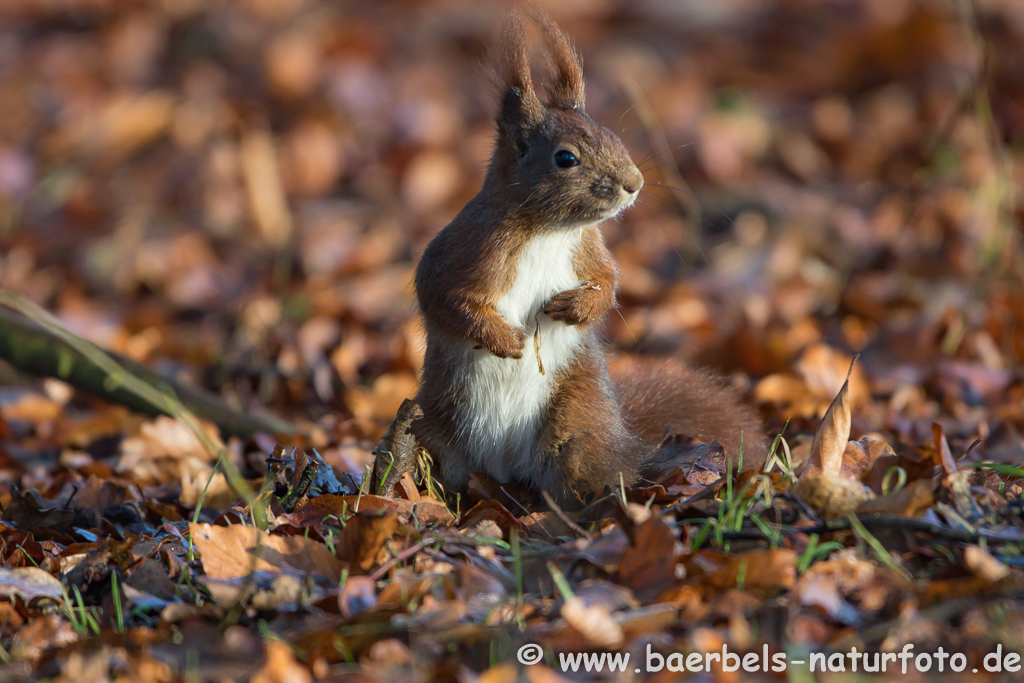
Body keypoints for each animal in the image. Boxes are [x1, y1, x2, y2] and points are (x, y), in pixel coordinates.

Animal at [403, 7, 765, 505]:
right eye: (565, 158)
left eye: (612, 135)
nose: (635, 183)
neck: (548, 231)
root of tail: (503, 472)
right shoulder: (464, 251)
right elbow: (443, 298)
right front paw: (505, 339)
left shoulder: (589, 250)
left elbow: (609, 283)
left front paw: (576, 306)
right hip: (434, 422)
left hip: (578, 418)